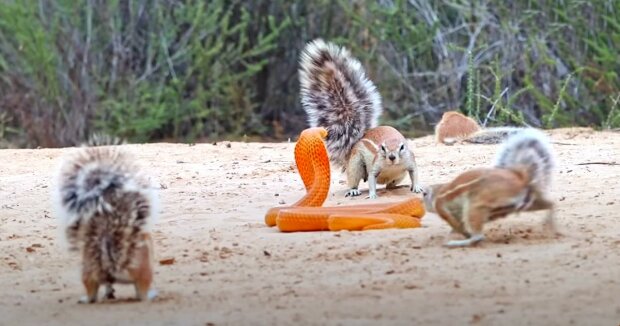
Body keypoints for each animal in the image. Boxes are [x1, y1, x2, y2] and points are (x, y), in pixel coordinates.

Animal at [52, 138, 160, 304]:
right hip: (144, 271)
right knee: (141, 292)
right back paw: (150, 296)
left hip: (89, 270)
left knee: (92, 290)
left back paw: (89, 298)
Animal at [298, 37, 424, 197]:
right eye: (382, 148)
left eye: (402, 147)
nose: (392, 157)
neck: (392, 165)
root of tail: (356, 141)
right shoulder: (375, 166)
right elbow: (371, 178)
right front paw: (372, 194)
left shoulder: (410, 161)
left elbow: (415, 173)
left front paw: (417, 187)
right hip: (356, 164)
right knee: (355, 178)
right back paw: (353, 190)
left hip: (399, 175)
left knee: (391, 184)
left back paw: (396, 186)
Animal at [422, 129, 556, 246]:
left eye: (423, 194)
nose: (424, 207)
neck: (437, 191)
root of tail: (520, 178)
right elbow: (458, 224)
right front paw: (456, 232)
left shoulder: (441, 207)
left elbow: (454, 223)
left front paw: (461, 234)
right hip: (516, 205)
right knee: (548, 204)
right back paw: (552, 226)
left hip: (476, 205)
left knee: (478, 236)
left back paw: (458, 242)